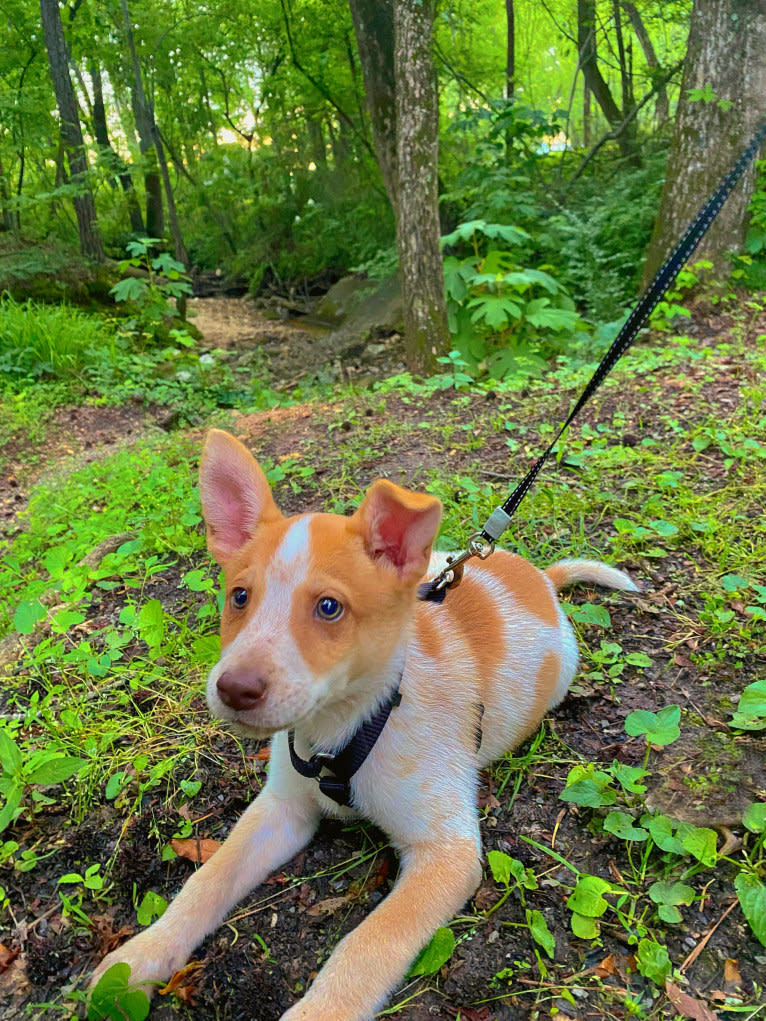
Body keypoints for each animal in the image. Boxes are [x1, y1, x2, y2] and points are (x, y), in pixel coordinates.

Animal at [92, 430, 637, 1021]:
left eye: (329, 607)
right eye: (239, 596)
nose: (234, 690)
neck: (347, 728)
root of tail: (539, 578)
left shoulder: (447, 853)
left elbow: (368, 943)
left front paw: (318, 1013)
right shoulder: (281, 808)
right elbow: (207, 878)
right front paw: (143, 955)